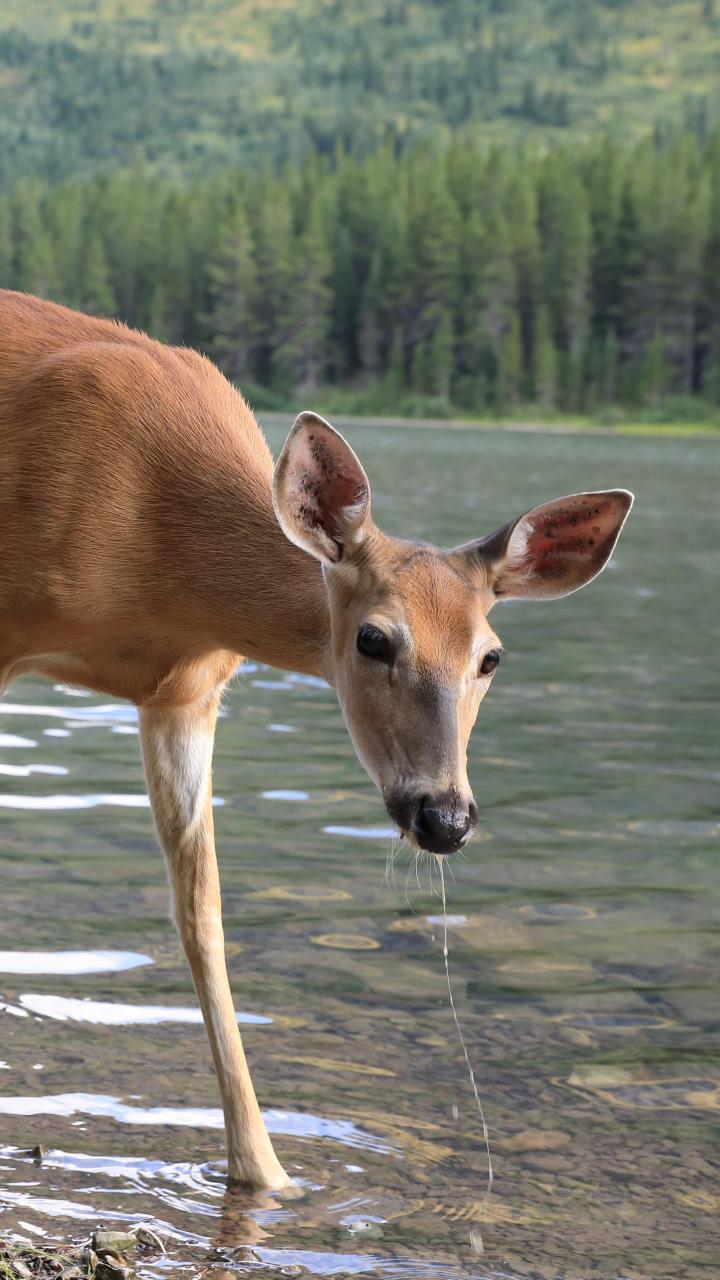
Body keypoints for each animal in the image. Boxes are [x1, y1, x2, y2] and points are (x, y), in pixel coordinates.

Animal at [0, 290, 633, 1190]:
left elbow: (203, 916)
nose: (445, 816)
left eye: (491, 656)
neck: (159, 561)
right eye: (372, 638)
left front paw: (266, 1174)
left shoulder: (185, 694)